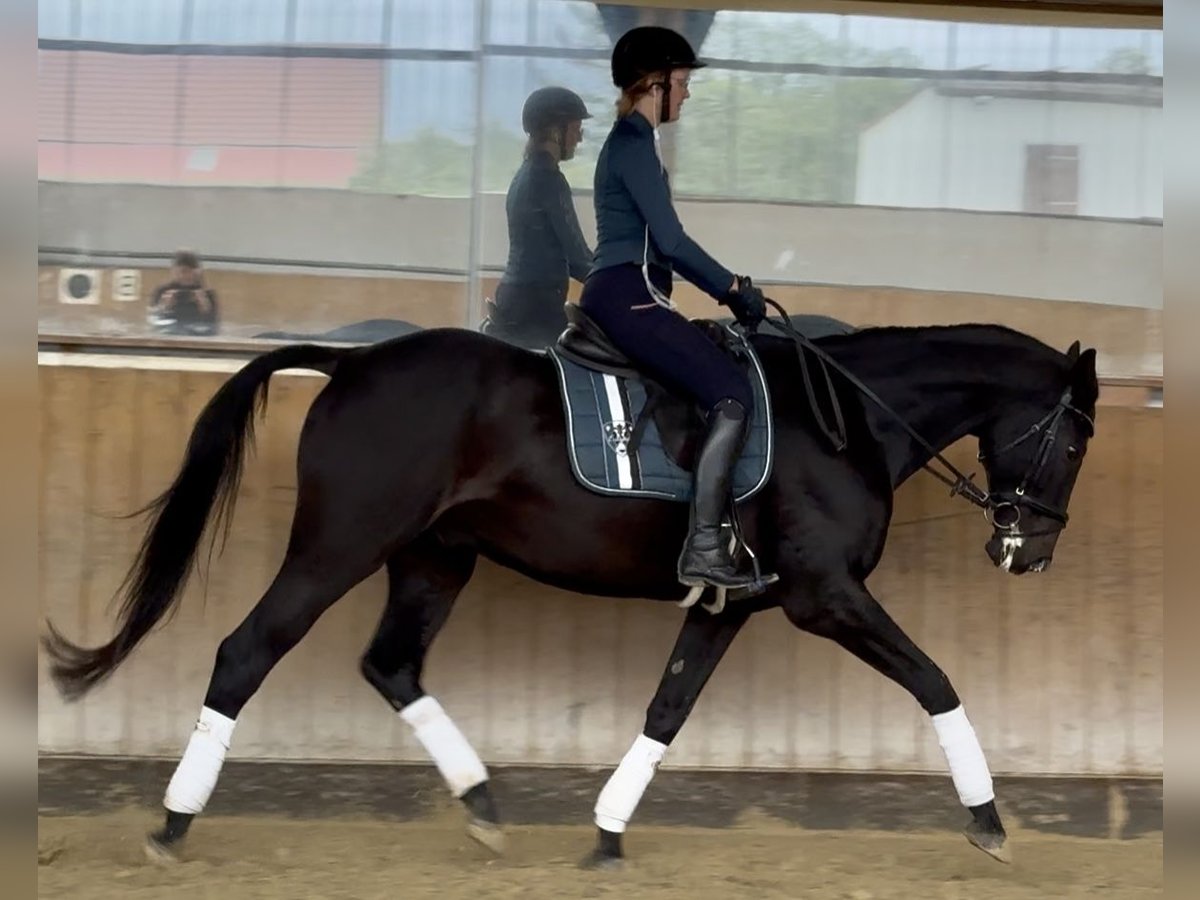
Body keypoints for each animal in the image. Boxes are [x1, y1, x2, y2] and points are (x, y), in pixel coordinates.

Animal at [42, 311, 1099, 869]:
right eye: (1078, 440)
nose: (1032, 553)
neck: (841, 423)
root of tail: (352, 361)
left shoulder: (735, 605)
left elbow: (668, 709)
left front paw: (606, 833)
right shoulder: (823, 597)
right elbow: (936, 683)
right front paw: (990, 823)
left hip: (434, 556)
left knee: (391, 665)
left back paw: (482, 803)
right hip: (341, 544)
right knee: (247, 651)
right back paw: (173, 824)